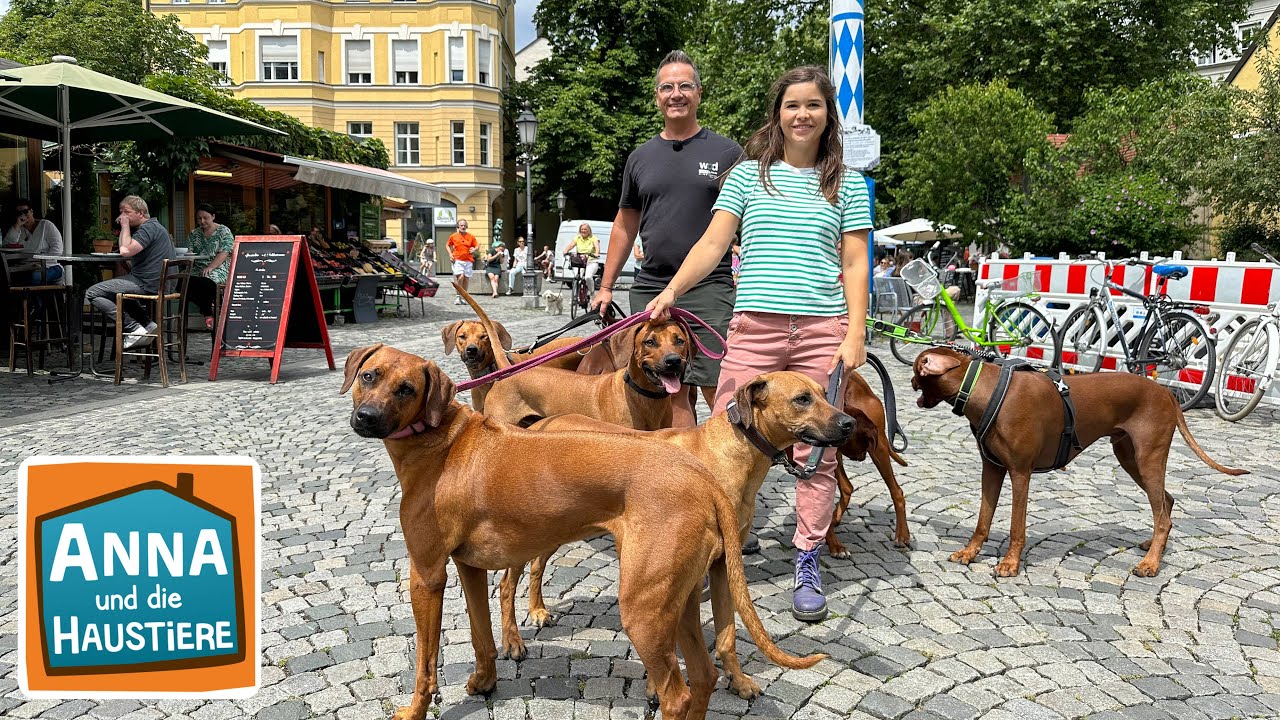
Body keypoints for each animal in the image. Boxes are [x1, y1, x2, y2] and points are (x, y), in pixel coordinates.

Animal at [340, 343, 819, 717]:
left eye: (406, 388)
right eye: (368, 375)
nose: (365, 417)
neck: (442, 441)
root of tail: (699, 476)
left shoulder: (426, 575)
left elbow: (425, 663)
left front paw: (415, 710)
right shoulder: (467, 567)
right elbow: (481, 637)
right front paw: (484, 682)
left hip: (643, 607)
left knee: (678, 695)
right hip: (676, 597)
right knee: (702, 678)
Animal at [504, 371, 855, 696]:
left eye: (825, 393)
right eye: (802, 399)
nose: (849, 423)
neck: (727, 455)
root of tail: (539, 425)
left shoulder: (725, 564)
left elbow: (727, 635)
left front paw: (738, 681)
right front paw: (654, 687)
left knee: (537, 566)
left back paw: (537, 609)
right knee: (508, 583)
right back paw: (512, 641)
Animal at [911, 345, 1249, 573]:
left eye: (915, 370)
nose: (912, 382)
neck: (985, 388)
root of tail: (1166, 392)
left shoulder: (1020, 472)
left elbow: (1016, 526)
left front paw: (1010, 563)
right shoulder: (992, 469)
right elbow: (983, 519)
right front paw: (969, 553)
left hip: (1147, 457)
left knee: (1162, 514)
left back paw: (1150, 563)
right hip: (1130, 457)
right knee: (1166, 502)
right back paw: (1154, 547)